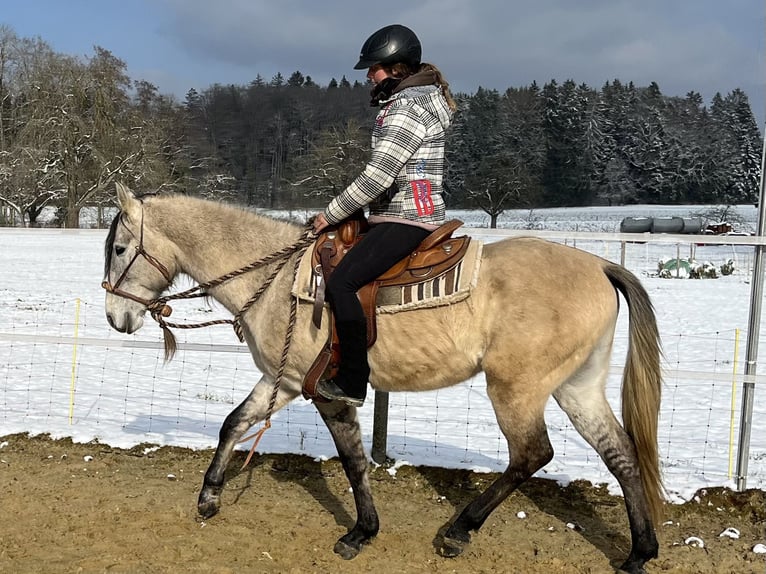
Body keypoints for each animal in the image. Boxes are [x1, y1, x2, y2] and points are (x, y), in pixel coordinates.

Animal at [102, 186, 664, 574]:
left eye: (120, 248)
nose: (114, 317)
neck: (280, 280)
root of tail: (600, 265)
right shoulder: (285, 380)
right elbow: (233, 424)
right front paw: (209, 497)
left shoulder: (325, 392)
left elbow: (352, 459)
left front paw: (361, 532)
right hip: (577, 387)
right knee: (620, 452)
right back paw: (640, 551)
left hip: (515, 389)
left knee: (532, 454)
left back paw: (460, 530)